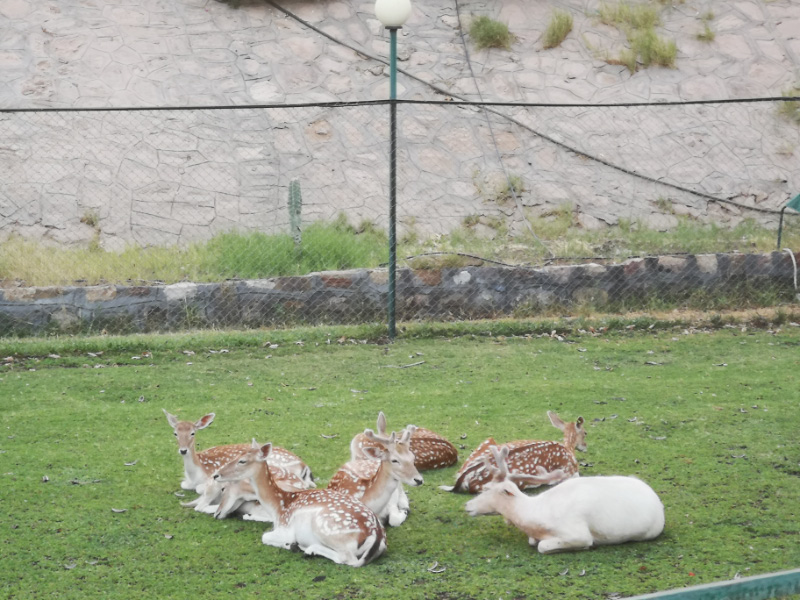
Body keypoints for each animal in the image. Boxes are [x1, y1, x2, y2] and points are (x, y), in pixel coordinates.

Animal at [163, 410, 315, 494]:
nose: (183, 450)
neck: (196, 474)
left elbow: (200, 488)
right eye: (175, 433)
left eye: (193, 433)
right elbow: (184, 485)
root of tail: (304, 467)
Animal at [213, 440, 387, 567]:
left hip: (326, 528)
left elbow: (265, 536)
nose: (216, 475)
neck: (278, 507)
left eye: (242, 461)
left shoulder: (285, 528)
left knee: (348, 559)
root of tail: (376, 535)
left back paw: (306, 549)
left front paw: (290, 544)